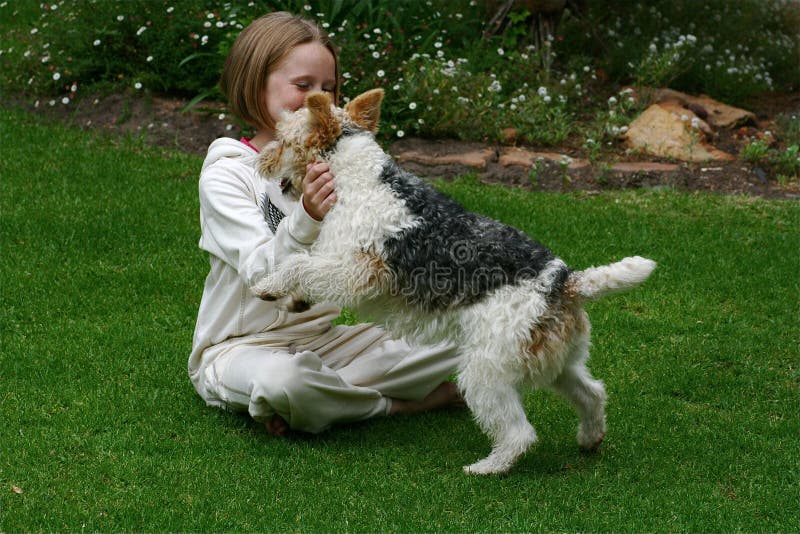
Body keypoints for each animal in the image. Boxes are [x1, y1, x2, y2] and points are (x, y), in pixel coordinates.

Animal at [252, 89, 656, 478]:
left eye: (284, 139)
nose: (262, 162)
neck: (358, 176)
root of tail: (567, 280)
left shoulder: (357, 269)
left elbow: (299, 265)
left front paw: (268, 287)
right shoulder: (340, 262)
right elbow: (304, 267)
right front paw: (294, 302)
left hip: (486, 368)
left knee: (519, 433)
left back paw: (487, 468)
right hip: (558, 361)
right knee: (593, 393)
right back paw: (590, 439)